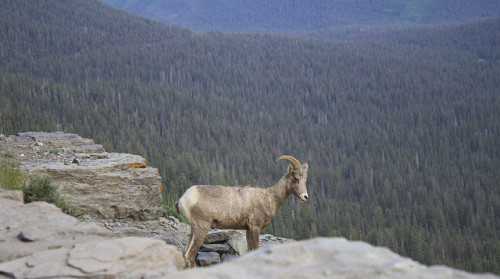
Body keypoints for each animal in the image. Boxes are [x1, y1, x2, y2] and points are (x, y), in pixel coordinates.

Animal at [176, 156, 308, 268]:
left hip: (194, 230)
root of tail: (183, 199)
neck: (270, 198)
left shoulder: (248, 229)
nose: (305, 197)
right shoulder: (255, 227)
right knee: (190, 255)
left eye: (305, 180)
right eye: (296, 179)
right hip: (202, 229)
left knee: (185, 253)